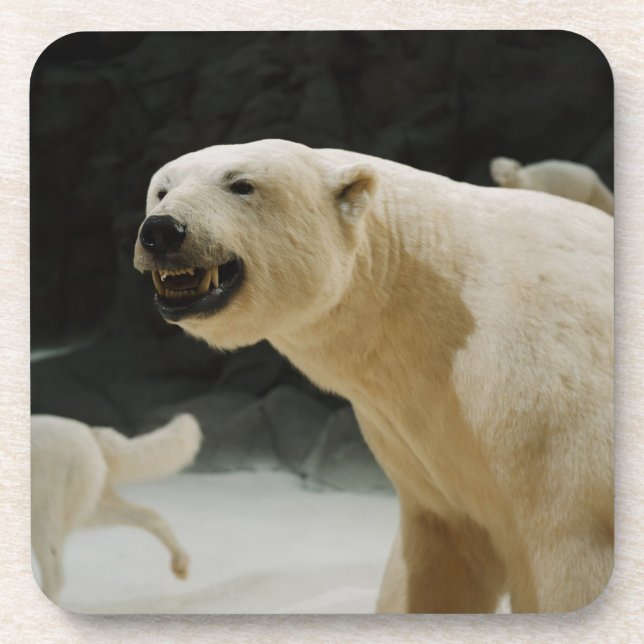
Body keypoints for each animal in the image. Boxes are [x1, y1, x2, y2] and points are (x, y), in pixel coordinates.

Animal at [133, 139, 613, 613]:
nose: (162, 231)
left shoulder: (551, 429)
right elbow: (433, 562)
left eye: (241, 184)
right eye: (162, 189)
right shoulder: (426, 448)